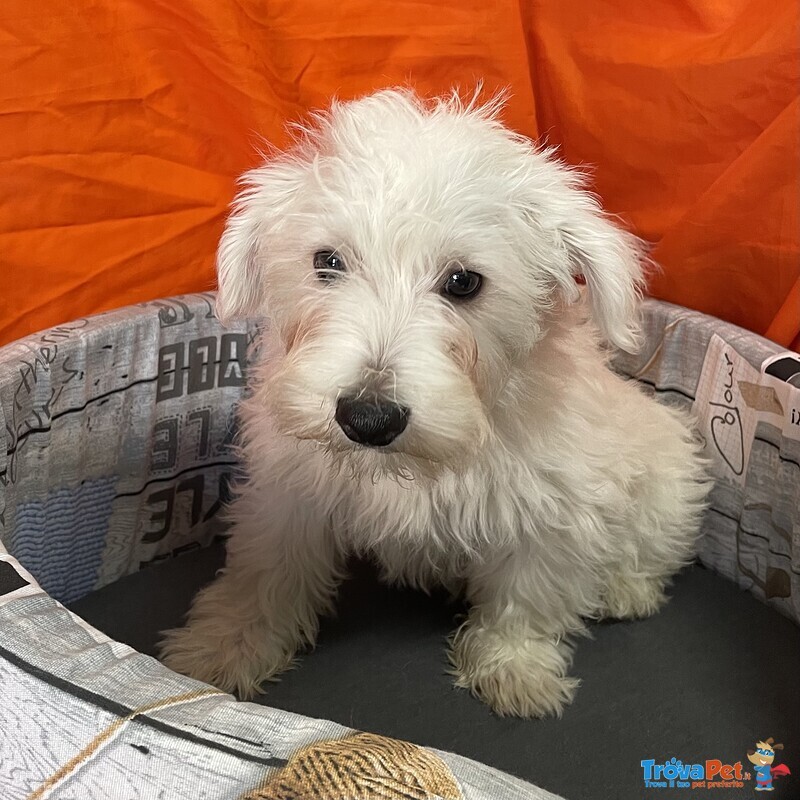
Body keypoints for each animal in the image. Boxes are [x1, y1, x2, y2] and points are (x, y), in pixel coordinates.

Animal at [159, 89, 708, 720]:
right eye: (327, 261)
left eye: (464, 282)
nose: (368, 418)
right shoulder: (288, 495)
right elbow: (264, 576)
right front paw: (223, 648)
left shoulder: (552, 513)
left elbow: (528, 595)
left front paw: (514, 667)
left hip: (667, 478)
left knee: (652, 548)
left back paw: (624, 588)